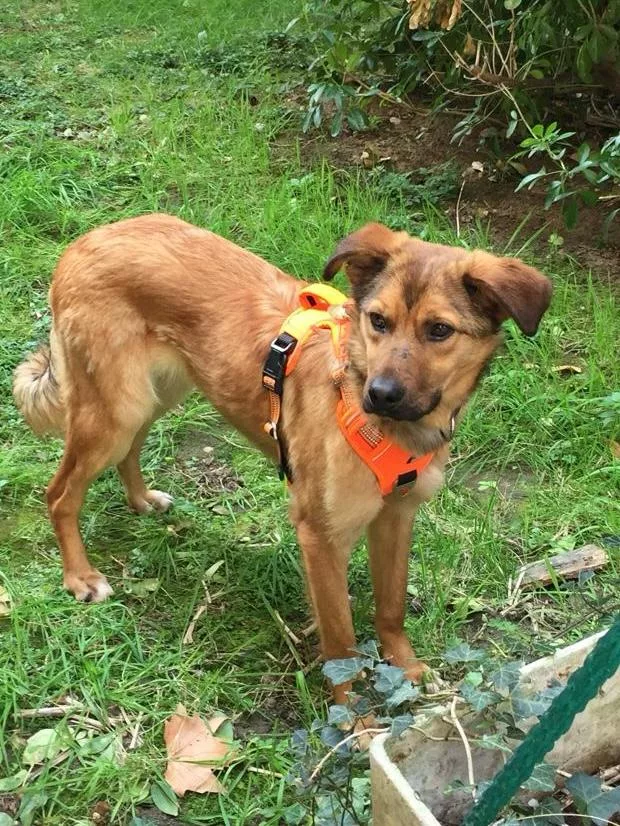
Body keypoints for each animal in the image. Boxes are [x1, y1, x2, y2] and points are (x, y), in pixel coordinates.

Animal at [14, 214, 551, 700]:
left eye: (439, 330)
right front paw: (354, 722)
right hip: (114, 410)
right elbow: (341, 645)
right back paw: (80, 577)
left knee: (131, 448)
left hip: (155, 394)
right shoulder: (321, 537)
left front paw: (408, 669)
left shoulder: (396, 516)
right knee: (60, 493)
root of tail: (83, 242)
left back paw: (140, 499)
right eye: (378, 321)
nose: (379, 395)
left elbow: (391, 607)